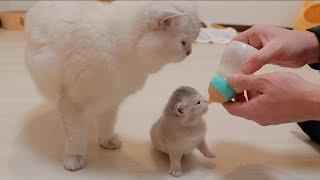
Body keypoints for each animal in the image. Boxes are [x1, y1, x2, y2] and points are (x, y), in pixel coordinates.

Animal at [25, 0, 200, 171]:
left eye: (192, 42)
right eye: (183, 43)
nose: (189, 53)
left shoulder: (111, 101)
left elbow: (107, 125)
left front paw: (107, 142)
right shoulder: (74, 103)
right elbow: (75, 138)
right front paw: (75, 160)